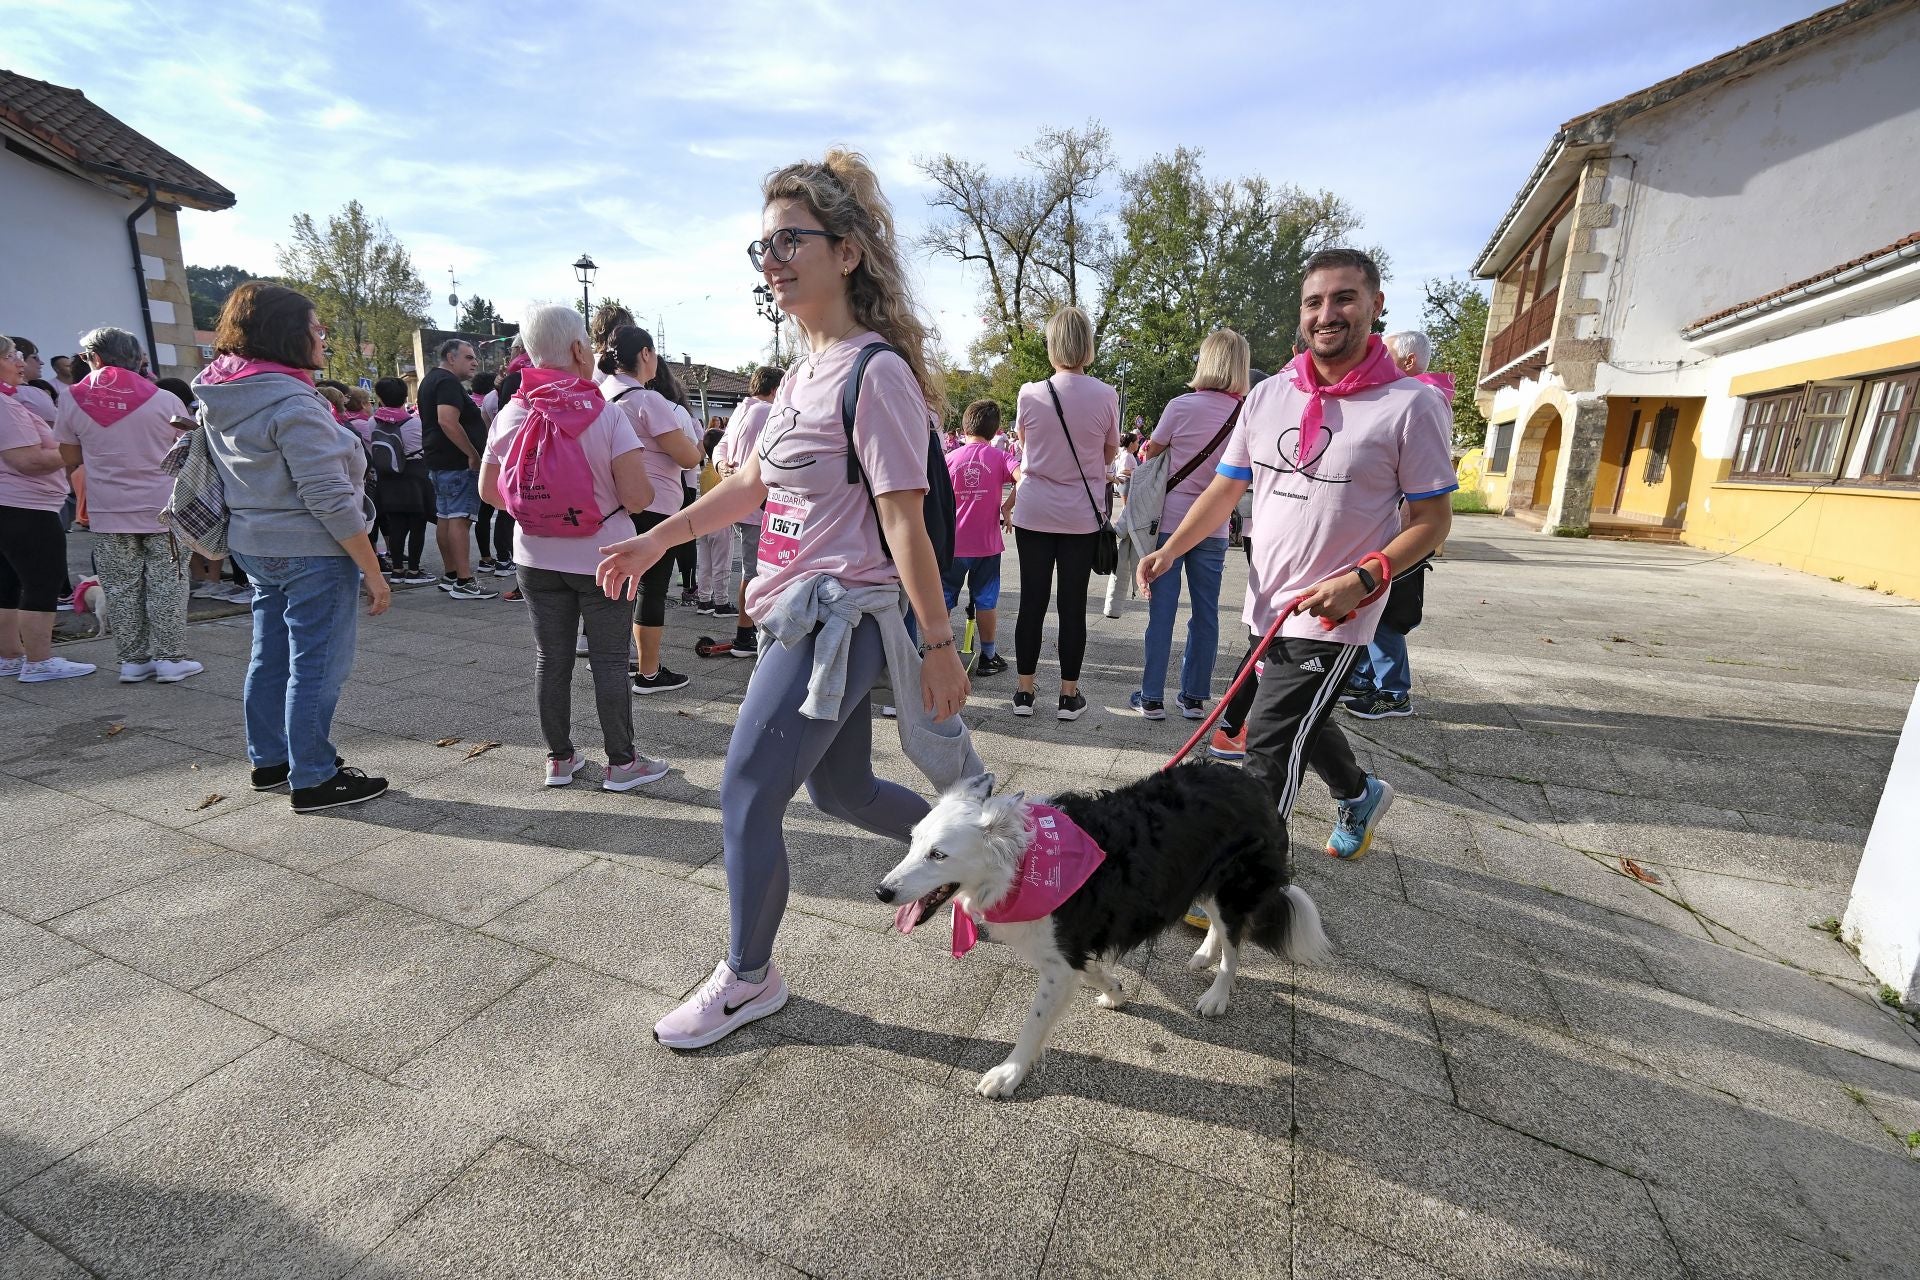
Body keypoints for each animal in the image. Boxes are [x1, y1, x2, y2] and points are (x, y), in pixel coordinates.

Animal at [879, 767, 1328, 1097]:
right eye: (913, 841)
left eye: (938, 855)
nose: (882, 892)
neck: (1023, 862)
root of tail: (1255, 783)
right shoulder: (1067, 950)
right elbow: (1093, 971)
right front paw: (1115, 991)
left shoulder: (1060, 960)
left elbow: (1034, 1023)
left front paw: (1008, 1074)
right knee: (1221, 929)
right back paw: (1203, 954)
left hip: (1234, 887)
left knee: (1235, 946)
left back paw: (1216, 995)